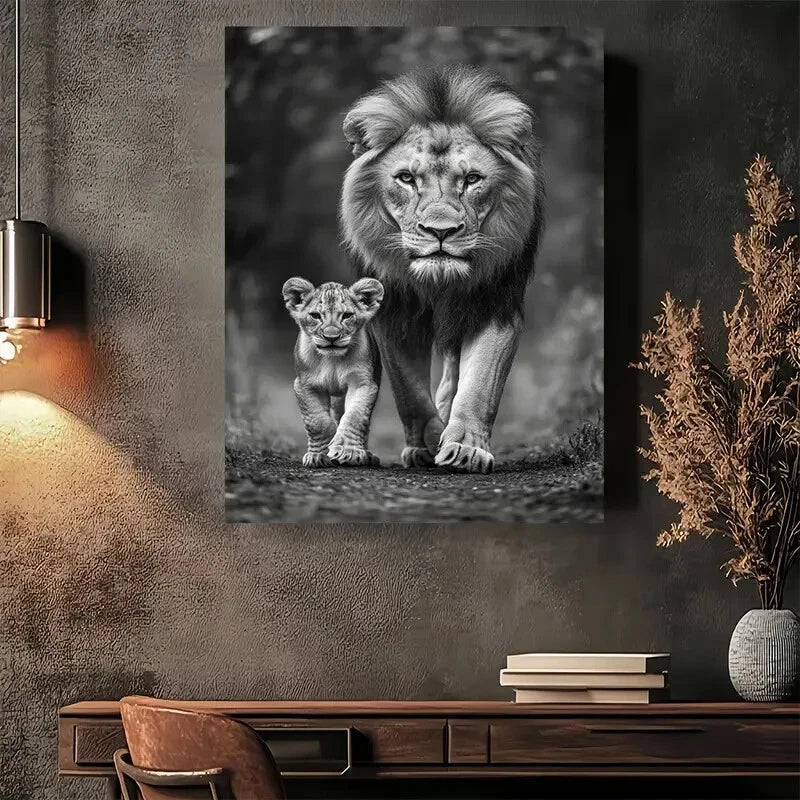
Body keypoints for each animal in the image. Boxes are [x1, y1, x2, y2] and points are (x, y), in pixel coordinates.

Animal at [282, 277, 384, 468]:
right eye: (315, 316)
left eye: (347, 315)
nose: (331, 337)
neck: (332, 360)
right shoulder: (305, 385)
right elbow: (317, 422)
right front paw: (318, 455)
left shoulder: (363, 383)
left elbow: (355, 417)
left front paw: (349, 451)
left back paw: (367, 455)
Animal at [340, 65, 544, 474]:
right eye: (406, 178)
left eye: (471, 179)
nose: (440, 231)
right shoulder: (393, 310)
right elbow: (409, 389)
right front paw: (428, 440)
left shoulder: (493, 304)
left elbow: (480, 383)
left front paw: (464, 445)